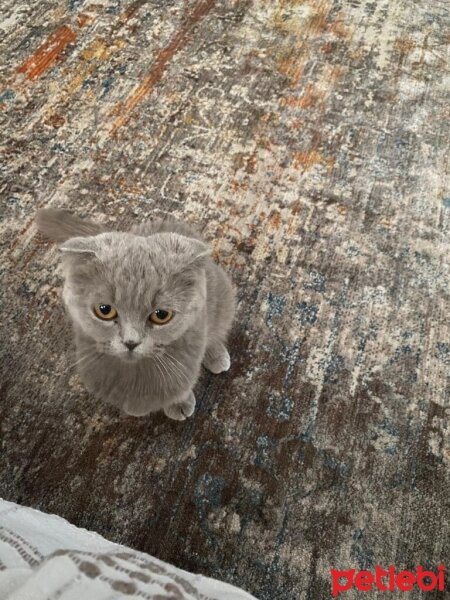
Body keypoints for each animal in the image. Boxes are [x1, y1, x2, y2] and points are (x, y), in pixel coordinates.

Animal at [35, 209, 236, 420]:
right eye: (104, 310)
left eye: (161, 315)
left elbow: (181, 385)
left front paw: (179, 404)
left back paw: (216, 356)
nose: (131, 342)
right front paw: (136, 408)